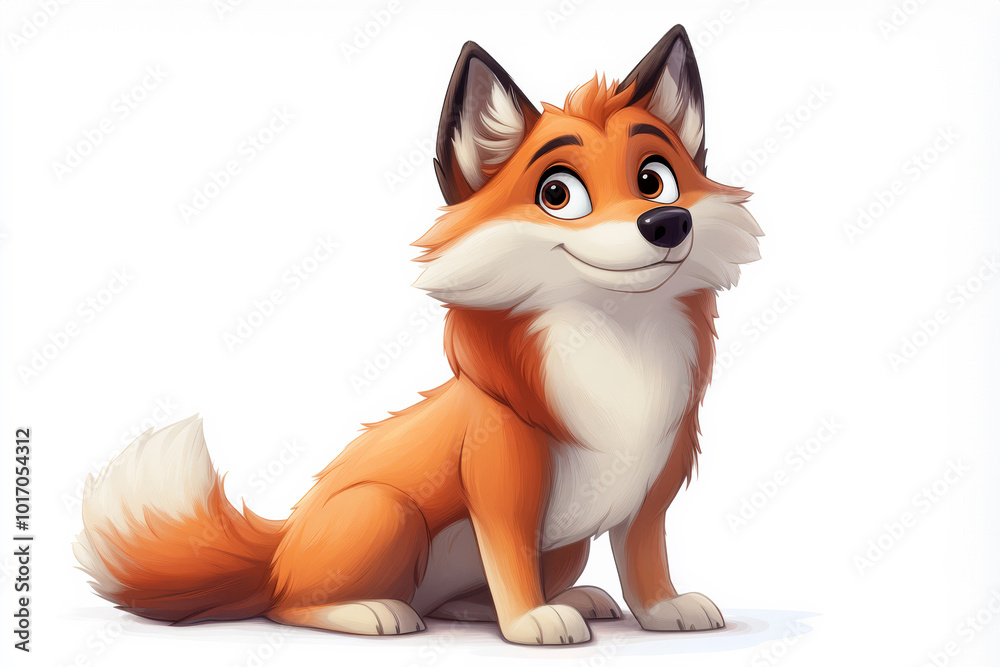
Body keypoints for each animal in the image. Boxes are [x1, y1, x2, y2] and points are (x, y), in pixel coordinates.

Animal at [74, 25, 762, 646]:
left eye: (655, 179)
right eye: (558, 194)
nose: (666, 222)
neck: (618, 344)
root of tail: (277, 550)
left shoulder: (653, 487)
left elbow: (645, 562)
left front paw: (663, 610)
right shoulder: (503, 484)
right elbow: (512, 564)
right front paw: (530, 622)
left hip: (561, 548)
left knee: (455, 601)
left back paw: (551, 601)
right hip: (385, 511)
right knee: (289, 607)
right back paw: (373, 613)